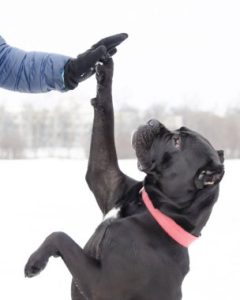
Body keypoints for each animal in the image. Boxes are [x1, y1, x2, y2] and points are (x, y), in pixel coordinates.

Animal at [24, 59, 225, 300]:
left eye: (176, 142)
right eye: (178, 130)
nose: (153, 121)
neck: (152, 210)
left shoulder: (100, 284)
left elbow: (60, 236)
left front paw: (35, 262)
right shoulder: (106, 175)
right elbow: (105, 113)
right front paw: (103, 70)